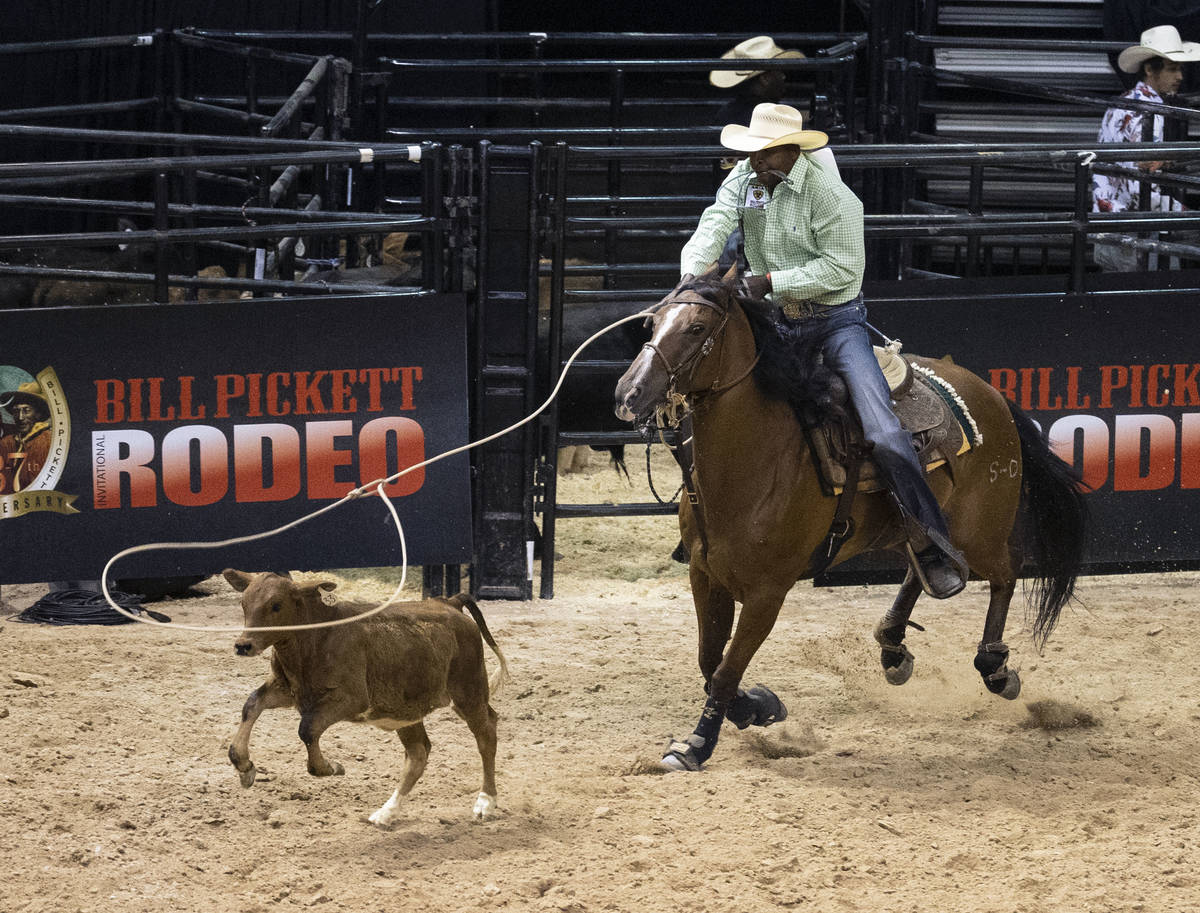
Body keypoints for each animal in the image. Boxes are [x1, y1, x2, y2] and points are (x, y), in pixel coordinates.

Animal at [223, 566, 508, 820]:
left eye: (276, 605)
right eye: (244, 603)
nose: (243, 645)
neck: (319, 635)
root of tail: (449, 602)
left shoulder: (350, 700)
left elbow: (307, 729)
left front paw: (331, 767)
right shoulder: (289, 690)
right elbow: (252, 704)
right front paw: (244, 766)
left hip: (468, 692)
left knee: (486, 733)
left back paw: (485, 802)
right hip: (406, 711)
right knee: (419, 752)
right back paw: (387, 813)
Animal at [614, 275, 1094, 767]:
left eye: (696, 328)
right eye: (652, 323)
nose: (629, 394)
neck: (757, 462)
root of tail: (994, 396)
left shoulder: (768, 591)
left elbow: (728, 668)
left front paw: (696, 744)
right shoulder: (704, 573)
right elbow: (710, 661)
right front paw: (759, 706)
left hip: (982, 530)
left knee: (1006, 572)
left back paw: (994, 667)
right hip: (919, 525)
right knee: (925, 564)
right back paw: (893, 644)